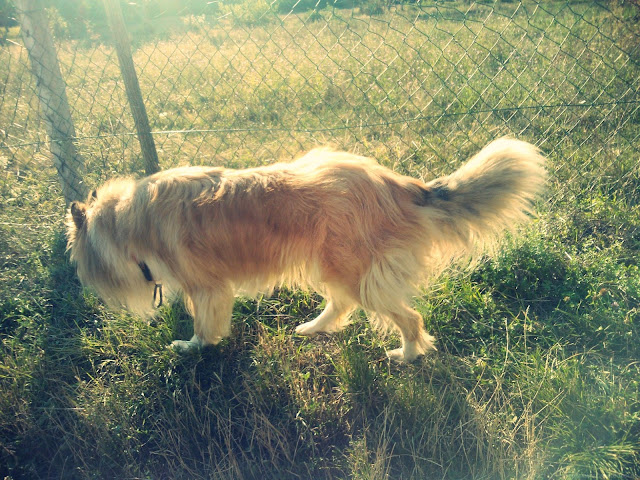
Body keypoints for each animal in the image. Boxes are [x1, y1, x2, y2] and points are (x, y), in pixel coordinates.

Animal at [66, 138, 545, 362]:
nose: (89, 293)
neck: (130, 221)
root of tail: (402, 185)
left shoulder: (206, 288)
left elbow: (204, 327)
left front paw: (192, 348)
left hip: (355, 272)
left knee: (409, 319)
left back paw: (407, 355)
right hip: (331, 266)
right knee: (342, 305)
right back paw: (313, 329)